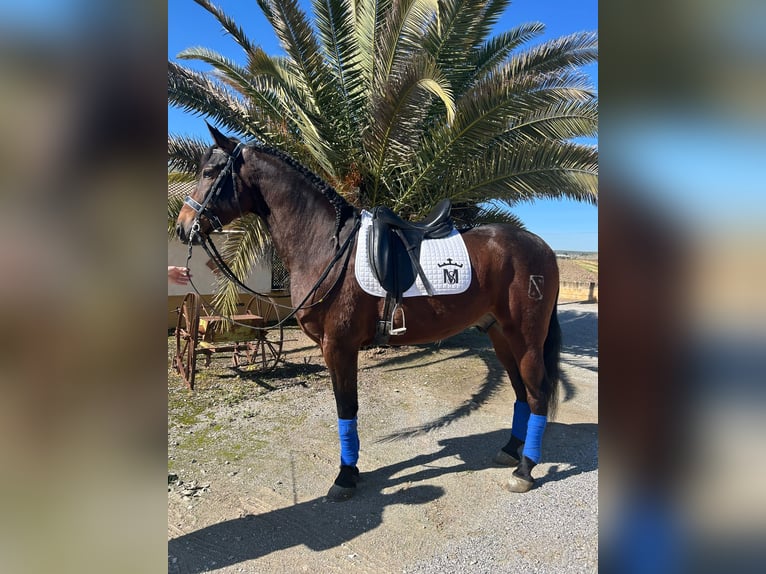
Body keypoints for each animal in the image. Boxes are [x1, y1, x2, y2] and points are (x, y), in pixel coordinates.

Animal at [175, 125, 562, 499]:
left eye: (210, 172)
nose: (182, 226)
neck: (325, 245)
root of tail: (541, 246)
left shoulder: (338, 346)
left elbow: (346, 409)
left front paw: (345, 476)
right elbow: (347, 409)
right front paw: (351, 472)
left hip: (525, 338)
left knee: (537, 393)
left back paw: (525, 469)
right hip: (500, 335)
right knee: (521, 393)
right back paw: (511, 450)